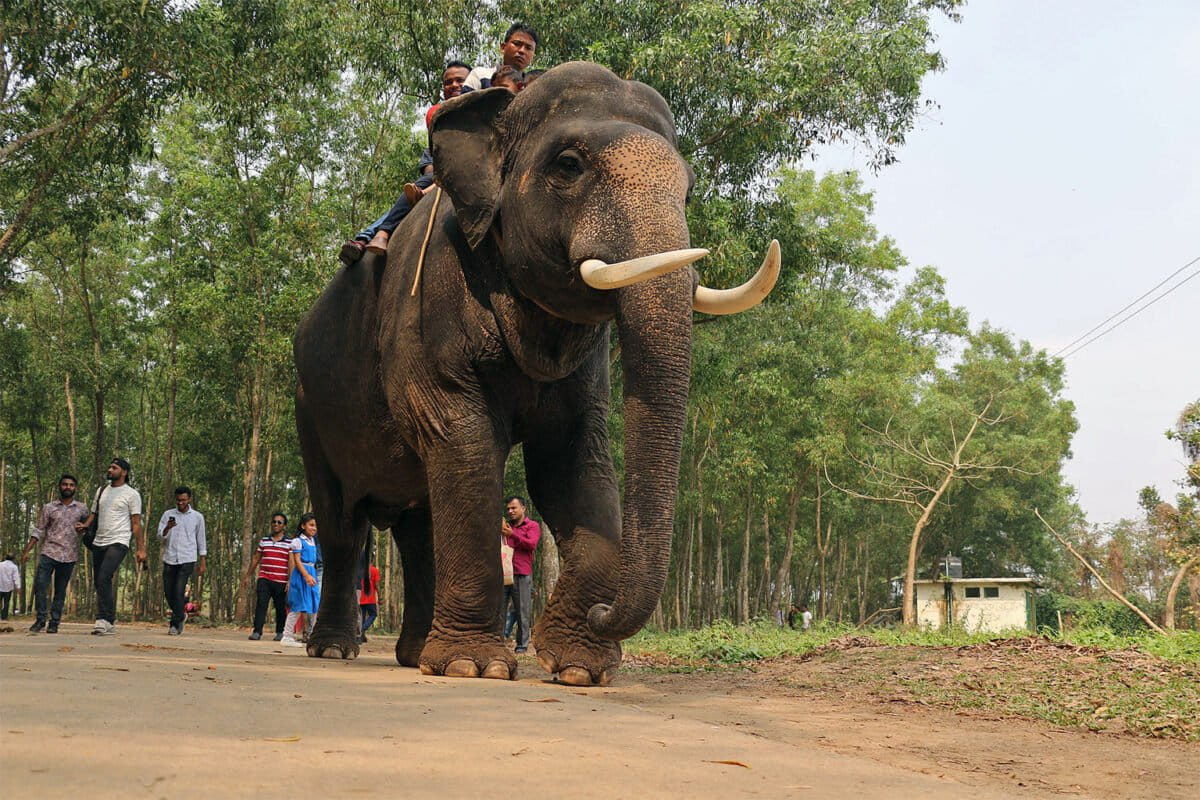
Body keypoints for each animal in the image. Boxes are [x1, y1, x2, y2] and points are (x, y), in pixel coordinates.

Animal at [292, 62, 778, 686]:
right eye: (569, 166)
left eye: (689, 190)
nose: (603, 613)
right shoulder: (426, 310)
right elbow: (464, 441)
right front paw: (475, 666)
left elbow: (571, 458)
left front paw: (579, 668)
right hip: (309, 407)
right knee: (342, 525)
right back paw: (335, 649)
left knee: (417, 524)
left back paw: (415, 653)